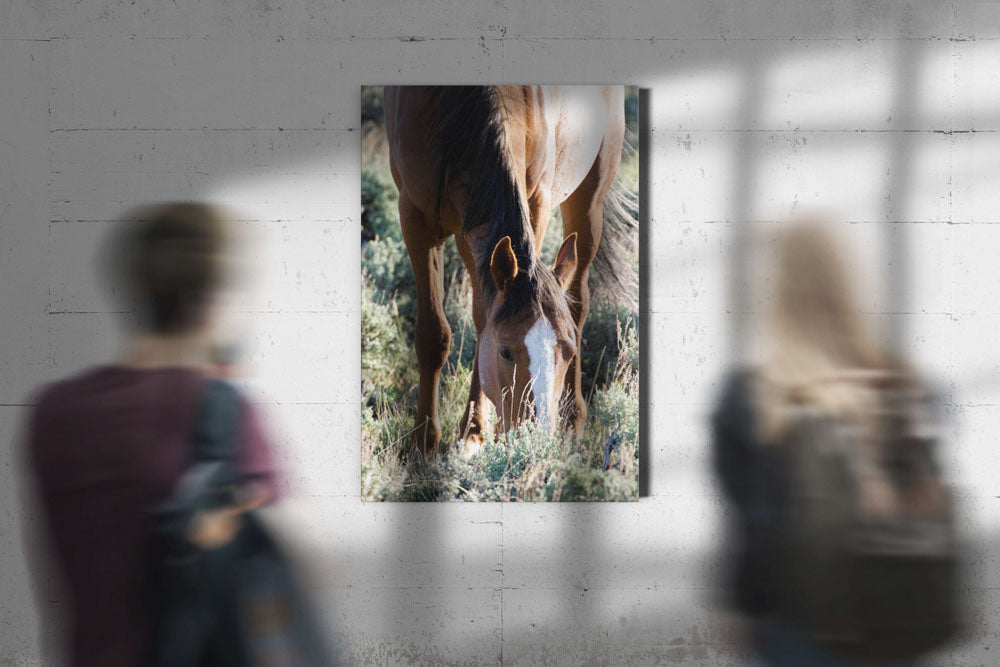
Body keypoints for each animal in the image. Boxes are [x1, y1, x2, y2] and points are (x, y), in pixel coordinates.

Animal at [382, 85, 624, 460]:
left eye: (569, 352)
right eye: (505, 352)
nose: (535, 441)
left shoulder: (536, 202)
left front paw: (473, 433)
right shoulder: (415, 218)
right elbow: (433, 334)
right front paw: (423, 444)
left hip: (589, 198)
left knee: (579, 302)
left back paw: (572, 420)